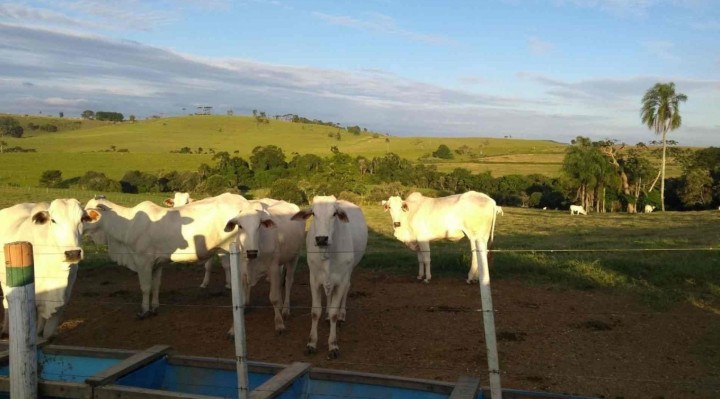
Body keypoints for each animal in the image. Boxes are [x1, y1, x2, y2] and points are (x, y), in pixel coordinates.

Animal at [0, 198, 93, 340]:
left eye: (82, 219)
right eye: (53, 220)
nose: (72, 253)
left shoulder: (63, 297)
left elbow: (48, 331)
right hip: (4, 281)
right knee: (6, 302)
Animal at [82, 193, 248, 318]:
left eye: (87, 216)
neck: (127, 225)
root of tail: (246, 202)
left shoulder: (143, 261)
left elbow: (145, 287)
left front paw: (144, 311)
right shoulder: (158, 263)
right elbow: (156, 285)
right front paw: (155, 307)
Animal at [224, 200, 306, 334]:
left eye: (259, 226)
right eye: (240, 226)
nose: (251, 252)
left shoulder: (273, 267)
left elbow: (273, 298)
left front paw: (279, 323)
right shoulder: (242, 272)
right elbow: (240, 301)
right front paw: (233, 328)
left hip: (294, 256)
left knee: (288, 281)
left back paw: (285, 309)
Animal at [292, 197, 368, 360]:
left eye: (334, 214)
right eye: (313, 213)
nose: (321, 239)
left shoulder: (341, 279)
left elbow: (334, 312)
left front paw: (333, 345)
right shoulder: (314, 279)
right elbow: (315, 312)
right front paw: (311, 343)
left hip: (349, 271)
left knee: (347, 289)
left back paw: (342, 315)